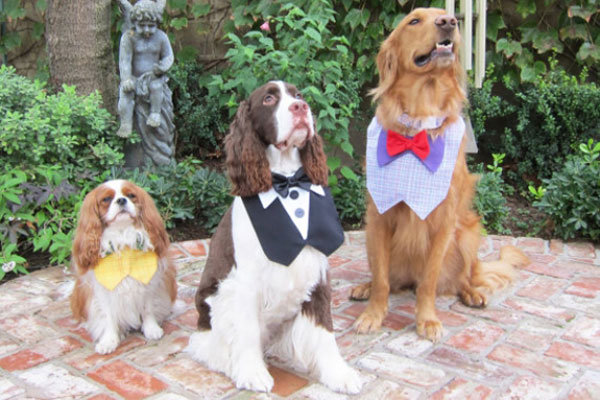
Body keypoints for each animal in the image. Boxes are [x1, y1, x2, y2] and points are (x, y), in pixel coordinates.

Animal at [69, 180, 176, 354]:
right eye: (106, 199)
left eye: (131, 195)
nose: (121, 200)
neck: (123, 235)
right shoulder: (102, 291)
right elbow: (108, 316)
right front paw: (109, 340)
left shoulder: (149, 283)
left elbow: (147, 308)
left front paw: (151, 328)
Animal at [184, 81, 360, 394]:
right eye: (268, 99)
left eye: (298, 95)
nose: (300, 108)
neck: (287, 181)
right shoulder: (245, 282)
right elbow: (246, 331)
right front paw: (252, 372)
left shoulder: (317, 275)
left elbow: (325, 330)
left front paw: (339, 374)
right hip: (215, 302)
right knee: (206, 344)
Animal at [352, 8, 528, 340]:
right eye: (414, 21)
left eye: (447, 16)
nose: (449, 22)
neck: (418, 122)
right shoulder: (378, 215)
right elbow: (382, 279)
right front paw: (373, 314)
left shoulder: (444, 222)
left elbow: (429, 282)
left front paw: (427, 320)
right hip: (369, 237)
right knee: (388, 278)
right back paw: (364, 287)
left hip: (468, 234)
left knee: (464, 277)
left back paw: (472, 293)